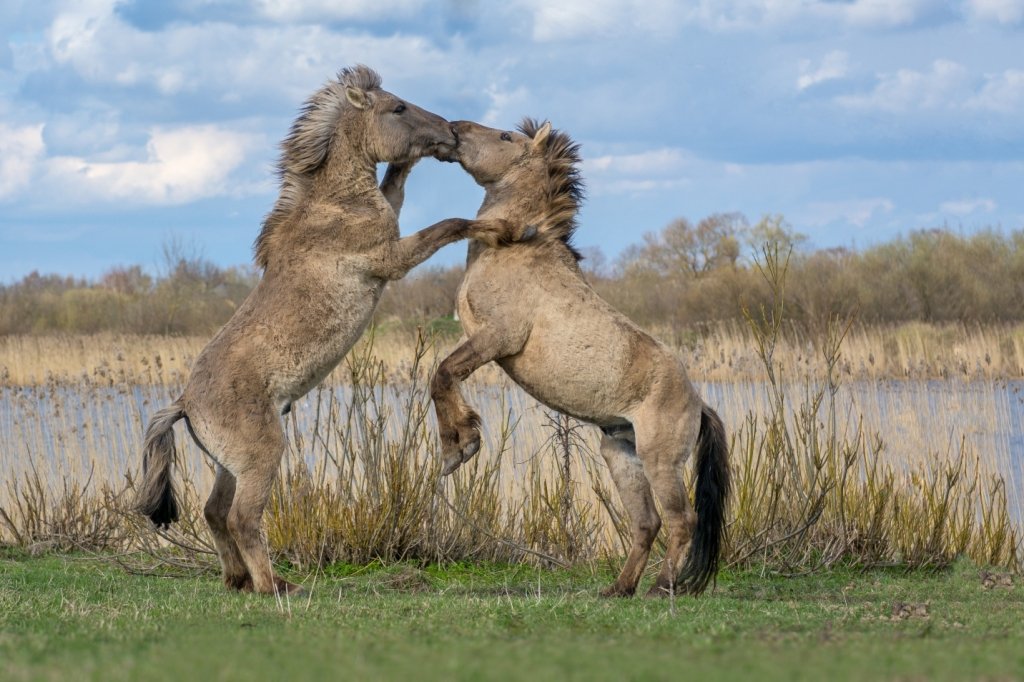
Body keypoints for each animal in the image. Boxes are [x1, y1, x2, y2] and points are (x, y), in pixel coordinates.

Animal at [134, 66, 520, 593]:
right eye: (398, 107)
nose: (450, 132)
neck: (333, 205)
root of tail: (184, 404)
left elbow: (397, 186)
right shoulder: (391, 259)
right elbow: (449, 224)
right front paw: (504, 229)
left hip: (229, 466)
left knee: (214, 513)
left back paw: (238, 580)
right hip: (262, 456)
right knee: (241, 518)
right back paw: (276, 586)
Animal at [432, 118, 729, 593]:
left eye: (505, 138)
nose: (454, 128)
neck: (516, 247)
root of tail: (699, 403)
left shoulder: (497, 338)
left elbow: (442, 374)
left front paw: (460, 447)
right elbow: (442, 375)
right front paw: (459, 445)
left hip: (660, 463)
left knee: (682, 520)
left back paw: (659, 589)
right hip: (621, 456)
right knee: (647, 523)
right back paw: (619, 589)